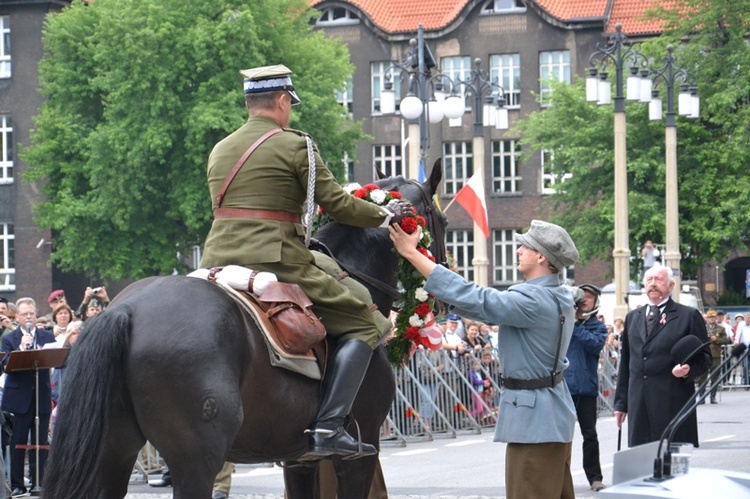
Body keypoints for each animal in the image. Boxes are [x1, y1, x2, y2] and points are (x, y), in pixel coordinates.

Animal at [42, 162, 446, 498]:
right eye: (440, 219)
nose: (442, 303)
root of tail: (125, 311)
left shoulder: (300, 460)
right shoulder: (359, 456)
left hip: (114, 450)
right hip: (196, 459)